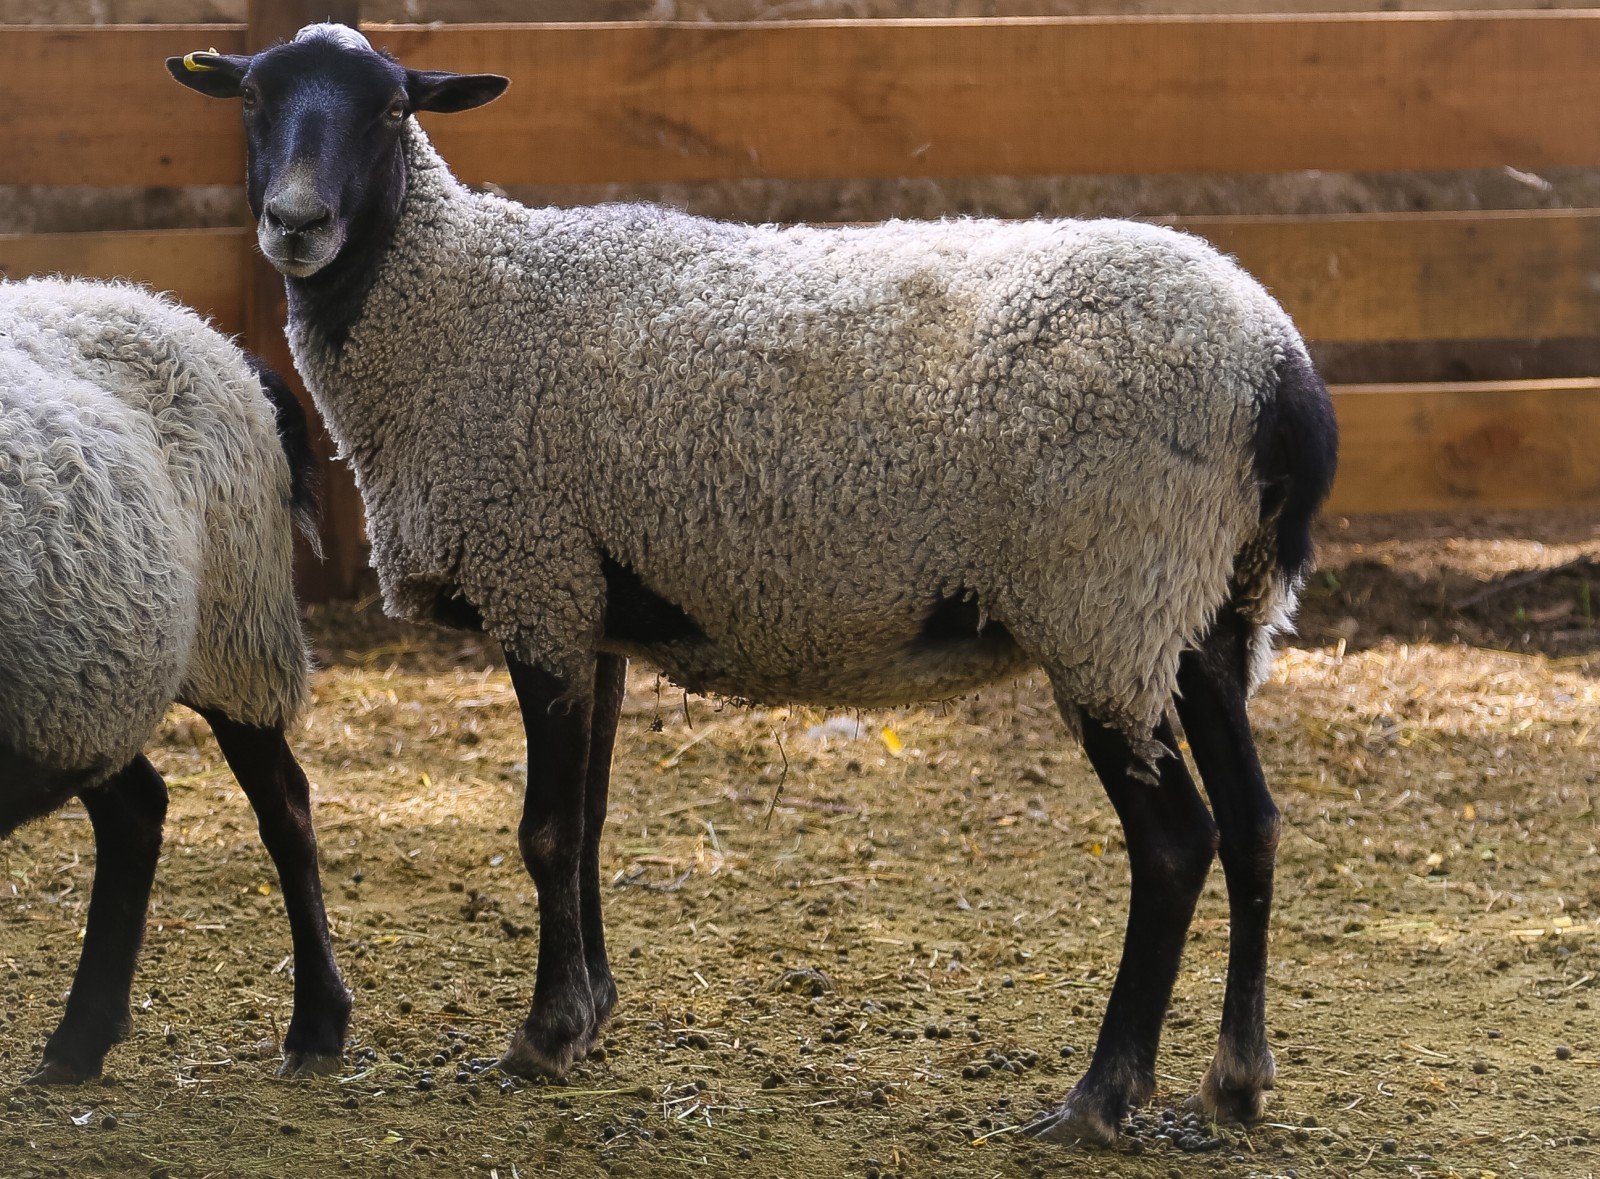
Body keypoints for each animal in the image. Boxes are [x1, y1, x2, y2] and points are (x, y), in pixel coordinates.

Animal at [0, 278, 350, 1087]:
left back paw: (317, 1025)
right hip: (88, 687)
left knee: (286, 806)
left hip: (238, 633)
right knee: (137, 810)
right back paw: (80, 1041)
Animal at [168, 27, 1337, 1145]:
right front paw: (590, 1012)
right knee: (1256, 822)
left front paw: (543, 1036)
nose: (296, 222)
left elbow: (545, 831)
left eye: (391, 109)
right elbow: (589, 823)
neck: (454, 303)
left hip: (1107, 597)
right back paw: (1236, 1081)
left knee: (1176, 844)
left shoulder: (536, 576)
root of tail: (1278, 368)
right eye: (254, 98)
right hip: (1204, 611)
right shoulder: (589, 602)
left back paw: (1099, 1098)